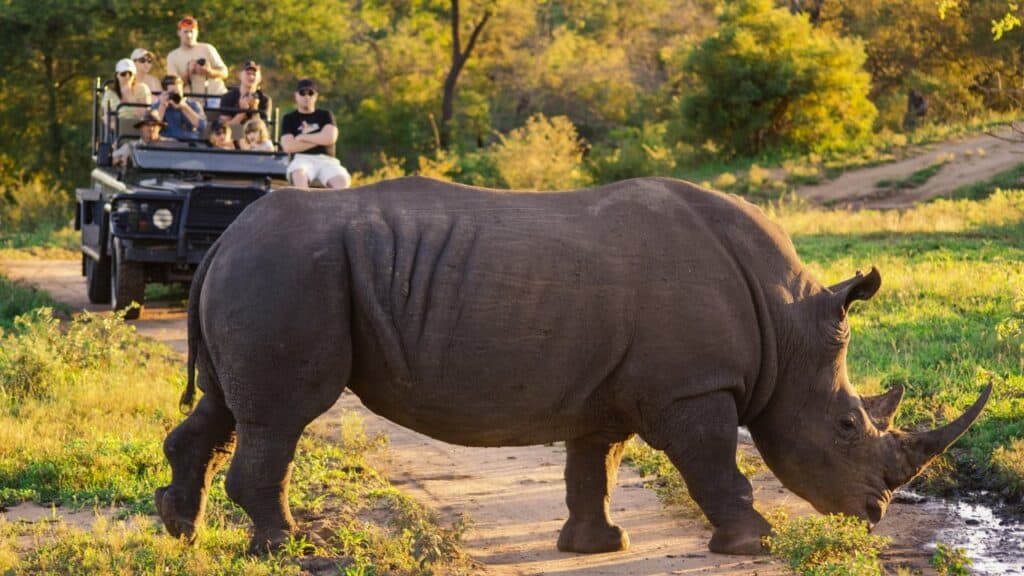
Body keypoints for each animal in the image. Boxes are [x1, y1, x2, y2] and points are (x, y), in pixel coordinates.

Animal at [155, 176, 990, 555]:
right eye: (848, 425)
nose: (873, 513)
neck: (786, 328)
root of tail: (224, 239)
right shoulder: (692, 388)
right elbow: (715, 463)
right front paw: (754, 541)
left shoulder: (611, 390)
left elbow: (596, 463)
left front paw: (597, 546)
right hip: (288, 270)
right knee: (280, 417)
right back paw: (291, 547)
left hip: (267, 268)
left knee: (224, 409)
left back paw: (181, 531)